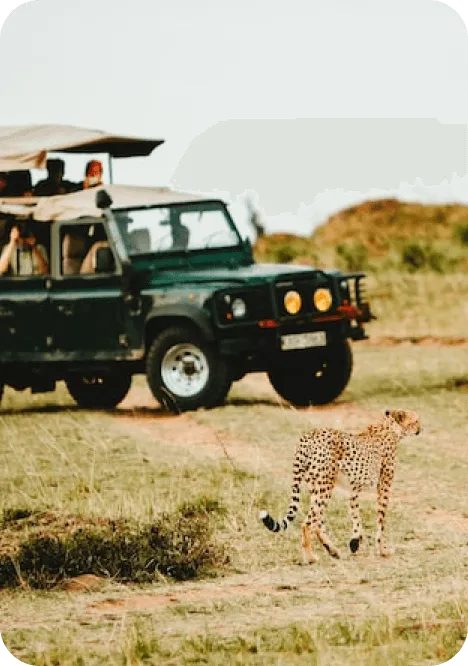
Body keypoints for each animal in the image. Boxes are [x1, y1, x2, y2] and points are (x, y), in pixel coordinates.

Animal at [258, 410, 422, 560]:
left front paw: (355, 542)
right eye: (415, 421)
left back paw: (332, 551)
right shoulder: (384, 486)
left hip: (316, 486)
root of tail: (308, 435)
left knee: (318, 521)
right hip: (325, 485)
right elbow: (381, 520)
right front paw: (383, 550)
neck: (390, 427)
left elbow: (355, 515)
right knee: (308, 523)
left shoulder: (354, 490)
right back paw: (311, 557)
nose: (420, 429)